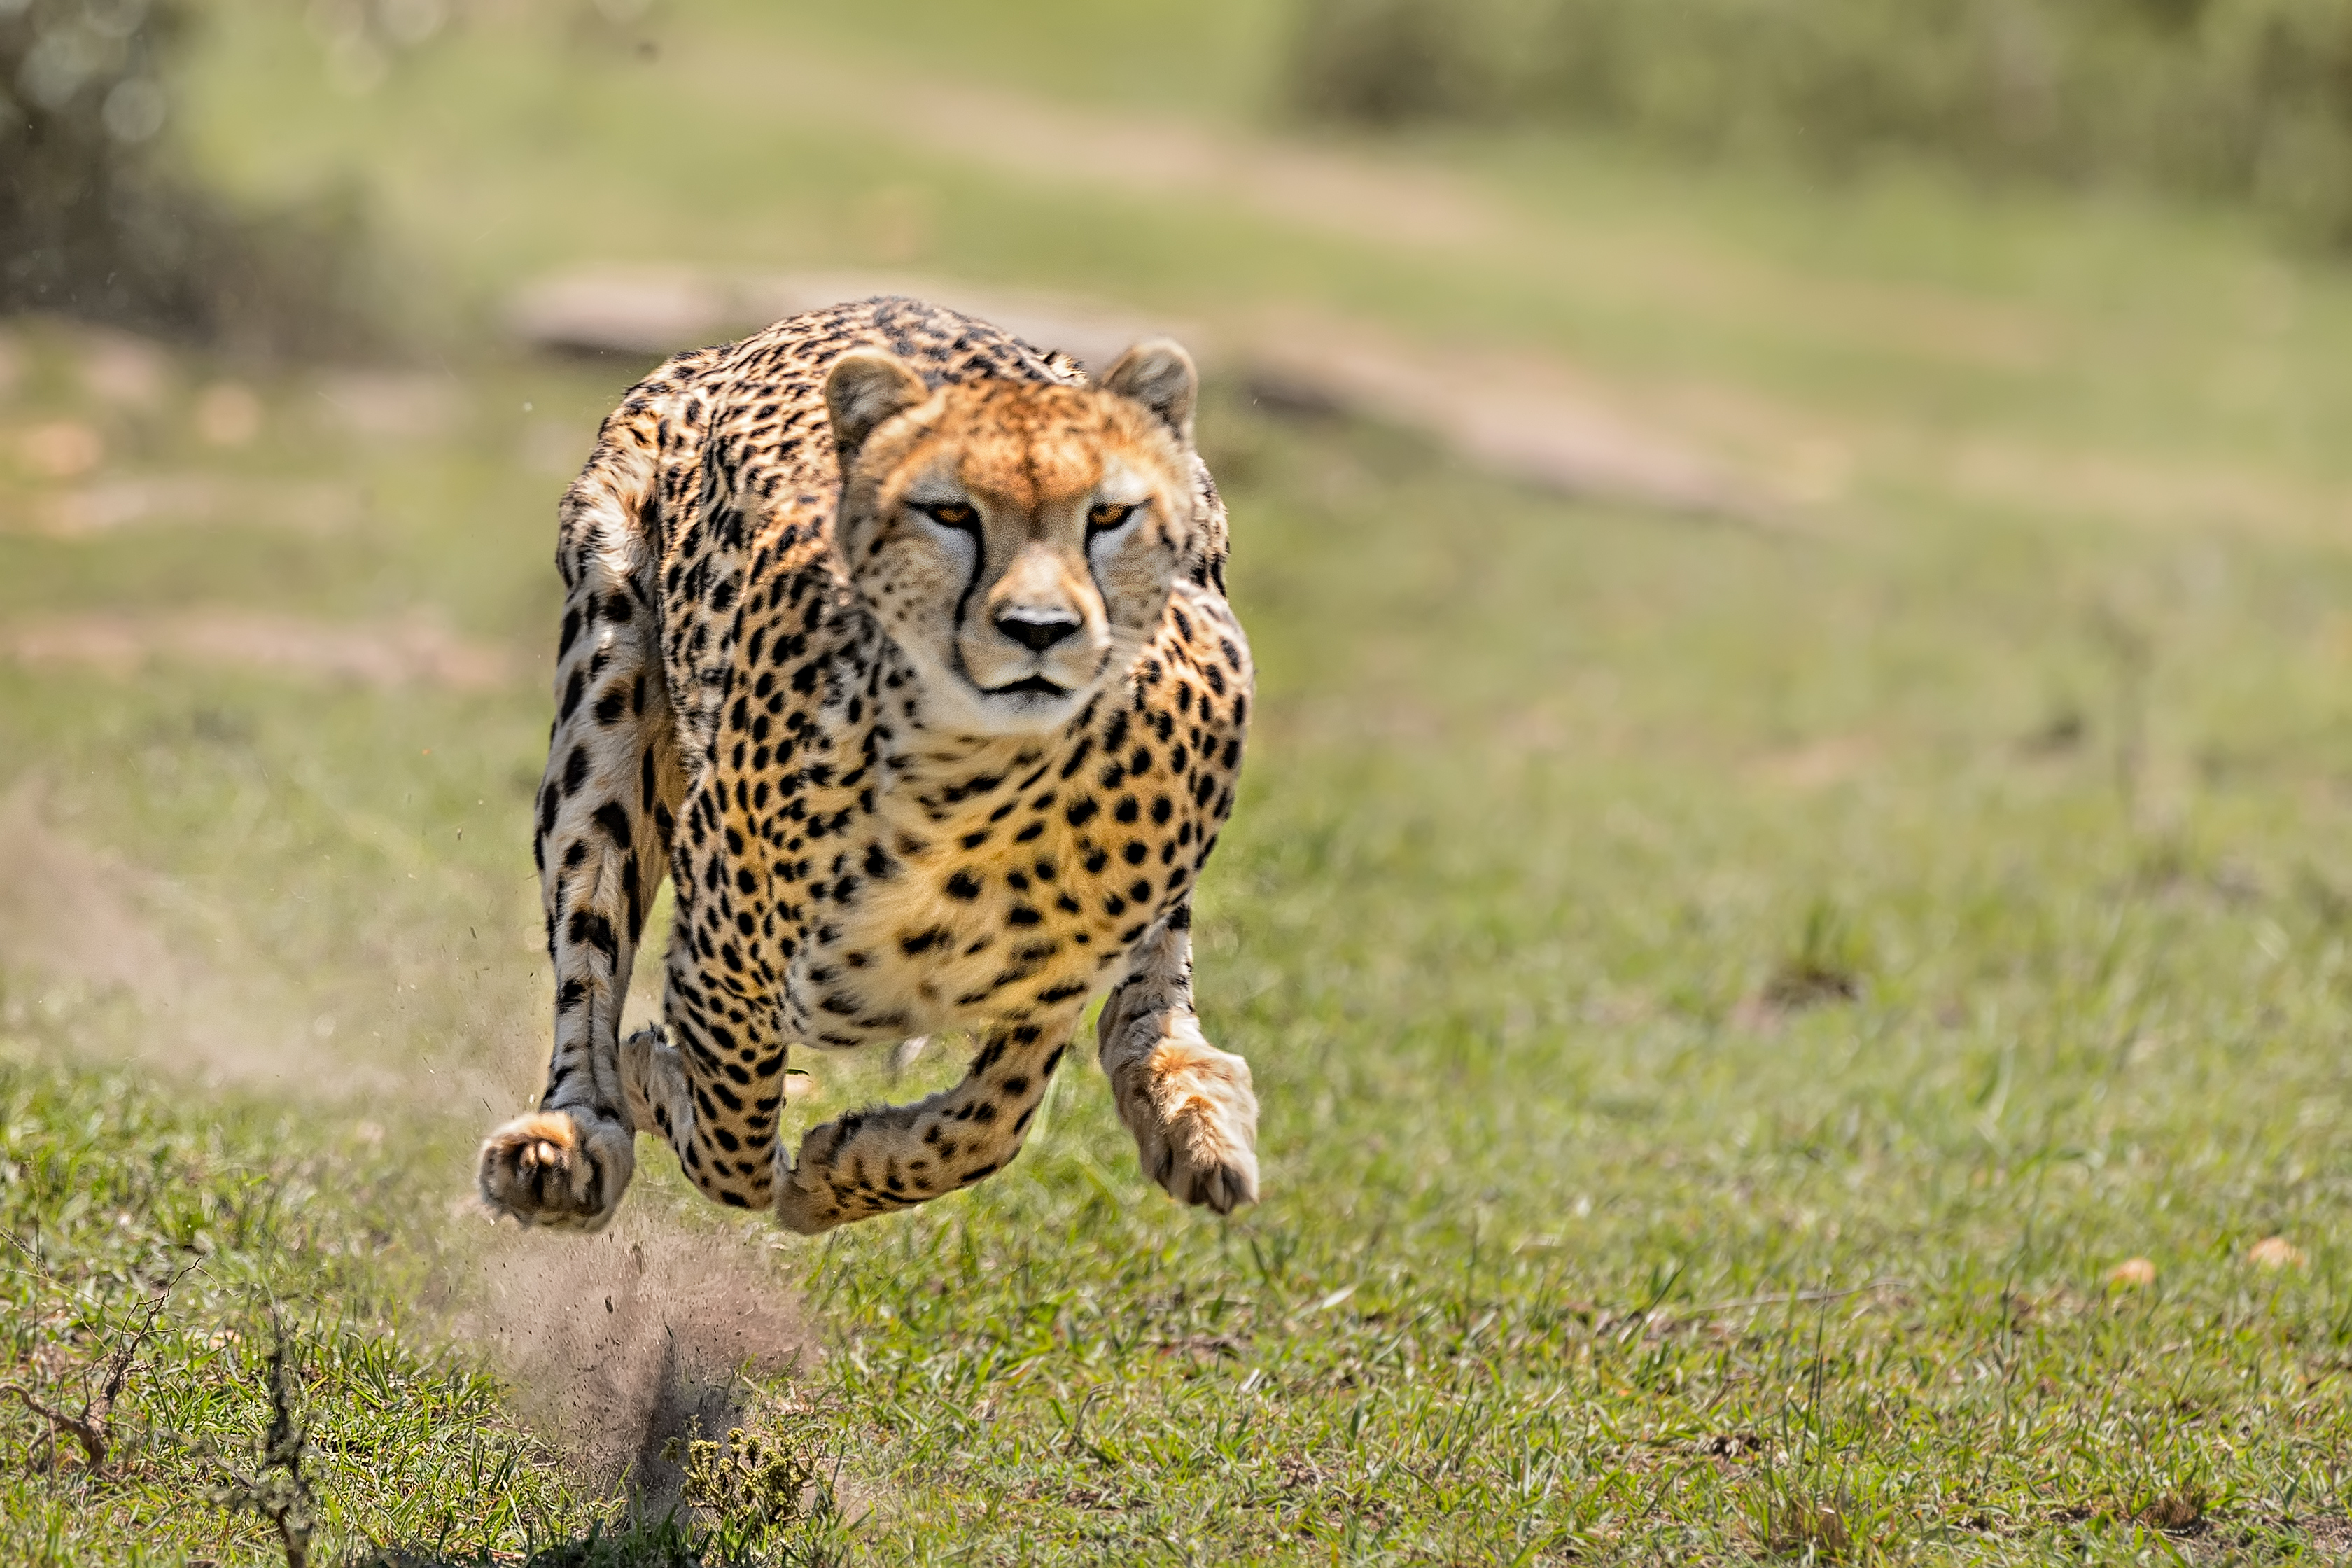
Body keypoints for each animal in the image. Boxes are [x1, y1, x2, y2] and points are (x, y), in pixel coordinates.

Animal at [468, 297, 1260, 1241]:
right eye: (949, 514)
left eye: (1108, 518)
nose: (1039, 628)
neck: (981, 791)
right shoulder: (727, 955)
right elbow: (732, 1134)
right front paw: (665, 1087)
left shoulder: (1056, 978)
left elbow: (993, 1119)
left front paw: (843, 1169)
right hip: (608, 680)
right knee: (588, 940)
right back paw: (572, 1134)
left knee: (1153, 988)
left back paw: (1190, 1105)